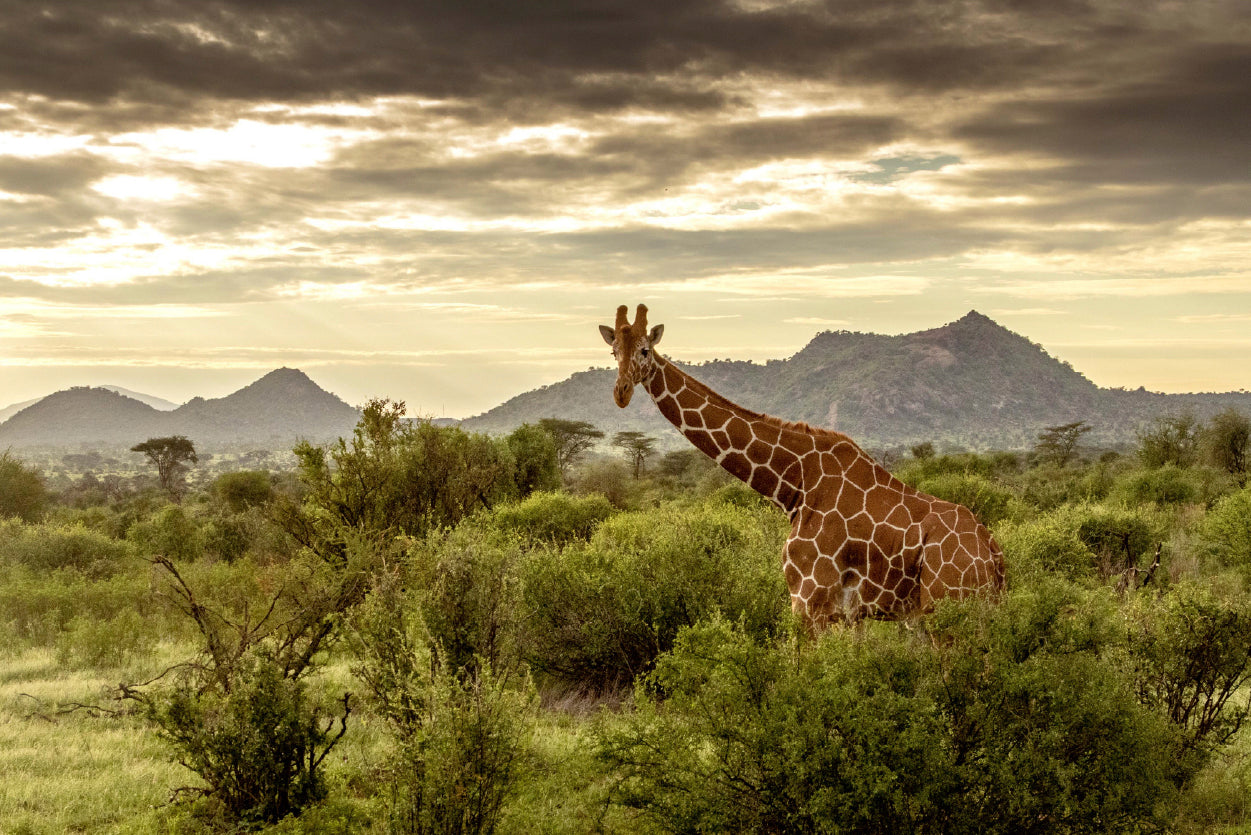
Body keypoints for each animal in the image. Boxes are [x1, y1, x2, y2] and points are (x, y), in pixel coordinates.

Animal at [599, 304, 1005, 630]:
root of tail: (995, 555)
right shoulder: (848, 615)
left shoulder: (810, 598)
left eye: (645, 350)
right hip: (938, 614)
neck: (795, 484)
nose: (620, 393)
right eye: (613, 351)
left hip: (948, 608)